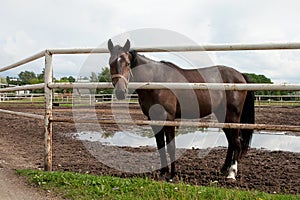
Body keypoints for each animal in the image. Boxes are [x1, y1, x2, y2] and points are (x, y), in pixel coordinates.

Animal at [106, 38, 254, 180]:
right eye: (110, 63)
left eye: (127, 63)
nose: (120, 92)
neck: (155, 81)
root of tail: (240, 75)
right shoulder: (153, 119)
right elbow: (160, 145)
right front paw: (163, 172)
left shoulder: (169, 118)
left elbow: (171, 147)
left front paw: (172, 175)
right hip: (223, 117)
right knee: (231, 142)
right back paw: (223, 169)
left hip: (232, 116)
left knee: (237, 142)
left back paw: (231, 173)